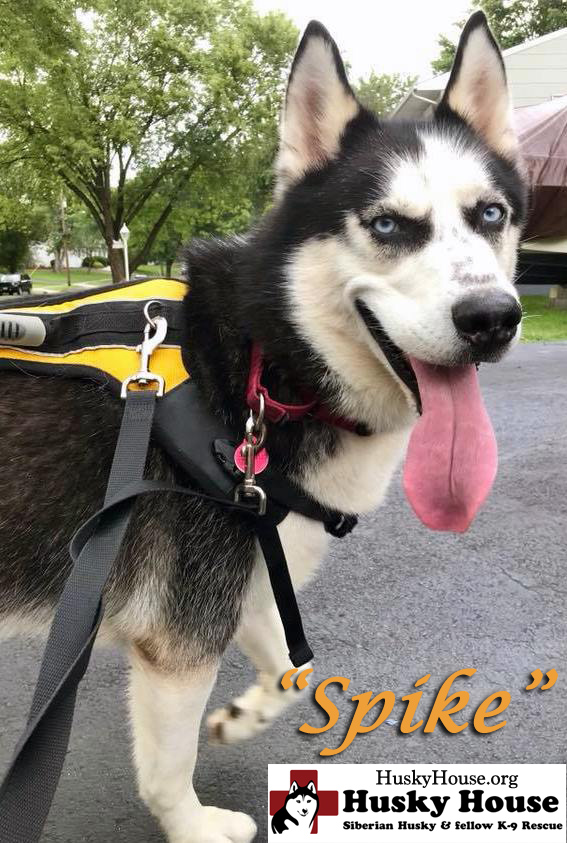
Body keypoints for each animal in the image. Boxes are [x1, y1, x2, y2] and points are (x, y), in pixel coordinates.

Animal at [0, 11, 526, 843]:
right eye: (385, 224)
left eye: (490, 215)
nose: (491, 319)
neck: (262, 371)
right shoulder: (182, 632)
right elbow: (168, 766)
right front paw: (192, 824)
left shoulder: (250, 577)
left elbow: (293, 666)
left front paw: (241, 715)